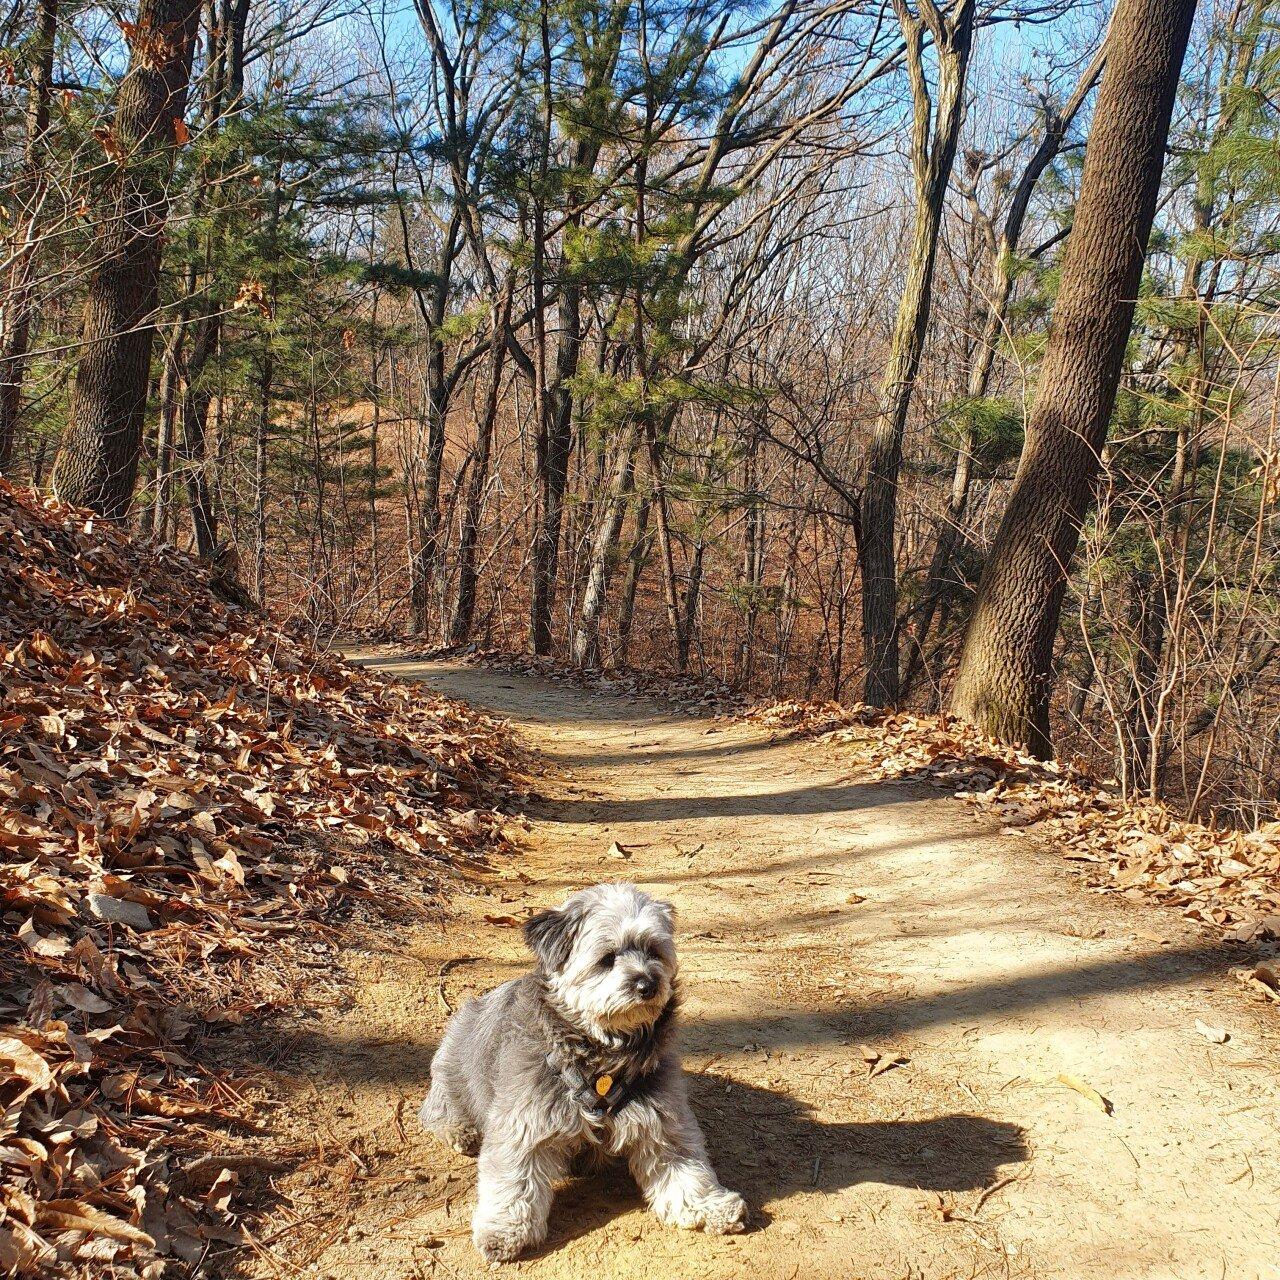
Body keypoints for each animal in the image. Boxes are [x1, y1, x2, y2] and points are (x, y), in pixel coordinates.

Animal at [419, 880, 747, 1259]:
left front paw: (708, 1206)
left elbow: (686, 1167)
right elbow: (514, 1176)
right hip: (453, 1076)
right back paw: (460, 1132)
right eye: (607, 959)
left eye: (654, 951)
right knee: (436, 1111)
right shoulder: (524, 1118)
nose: (648, 985)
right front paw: (504, 1229)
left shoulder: (663, 1117)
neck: (601, 1054)